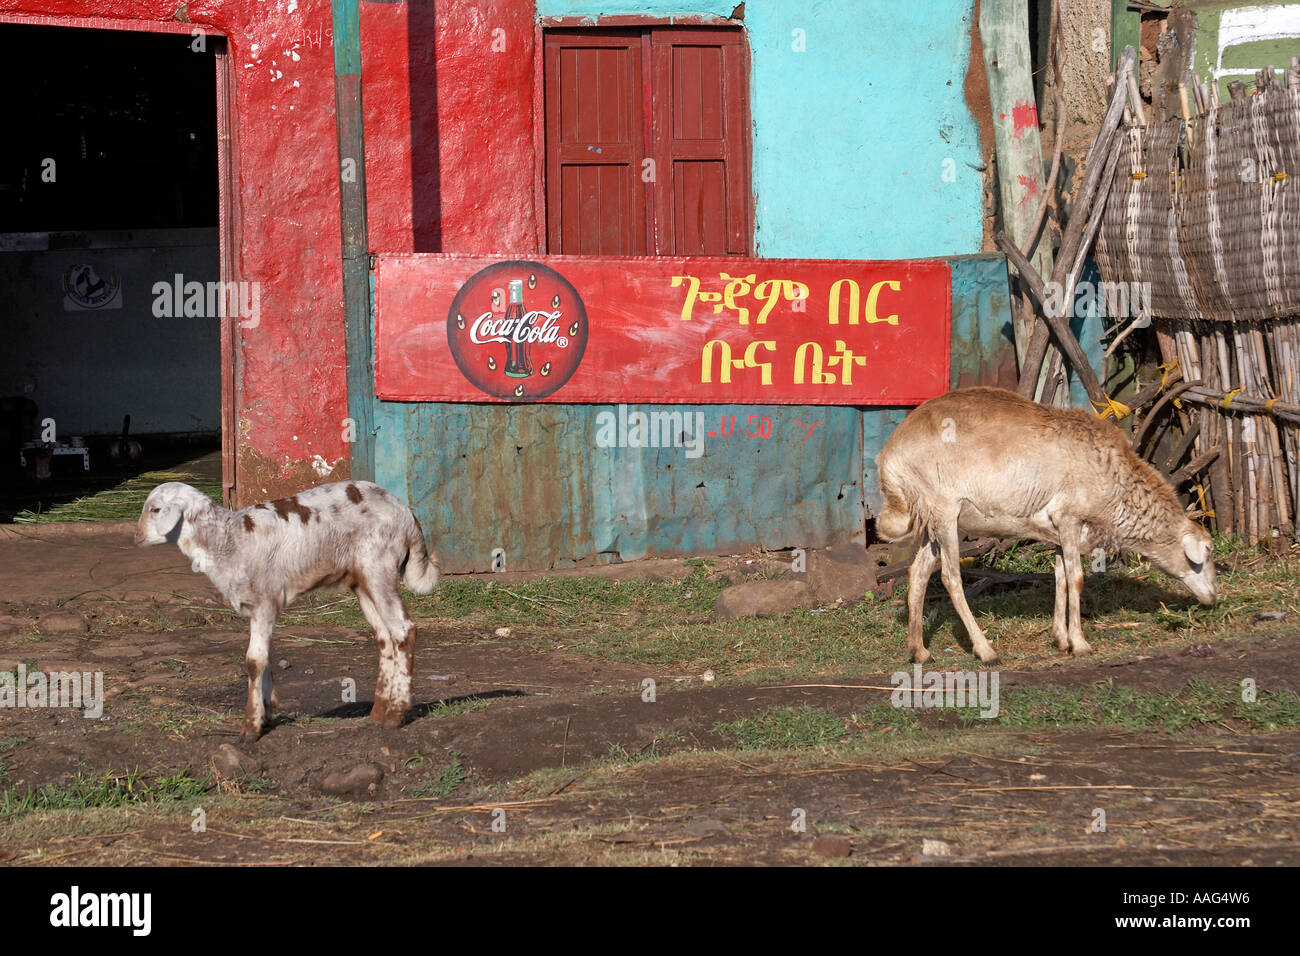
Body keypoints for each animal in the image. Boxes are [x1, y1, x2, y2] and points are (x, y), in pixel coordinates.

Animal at [134, 480, 439, 741]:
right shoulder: (260, 607)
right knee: (385, 637)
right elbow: (265, 658)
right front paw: (266, 714)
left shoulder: (263, 602)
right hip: (362, 580)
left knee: (403, 630)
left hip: (379, 566)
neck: (228, 540)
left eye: (156, 509)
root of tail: (407, 516)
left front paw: (250, 728)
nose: (136, 537)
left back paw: (396, 714)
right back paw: (378, 712)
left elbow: (253, 661)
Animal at [875, 386, 1217, 664]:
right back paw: (985, 650)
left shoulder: (1057, 532)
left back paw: (919, 651)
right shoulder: (1069, 518)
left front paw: (1061, 639)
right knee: (951, 578)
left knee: (918, 573)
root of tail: (889, 455)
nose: (1214, 597)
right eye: (1205, 552)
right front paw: (1080, 643)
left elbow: (1061, 578)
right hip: (946, 512)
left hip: (931, 520)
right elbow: (1076, 578)